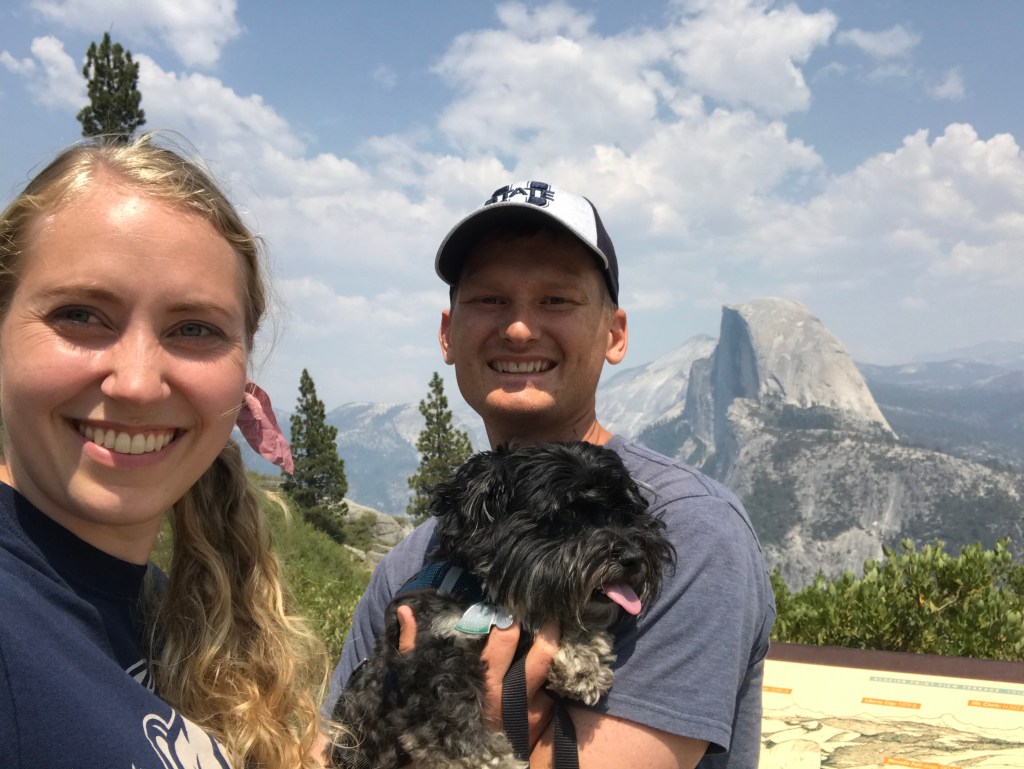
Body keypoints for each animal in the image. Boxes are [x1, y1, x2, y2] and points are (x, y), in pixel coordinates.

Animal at [331, 441, 675, 769]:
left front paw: (583, 659)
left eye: (625, 514)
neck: (490, 596)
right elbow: (452, 721)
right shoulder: (429, 654)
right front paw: (488, 760)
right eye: (567, 515)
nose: (633, 557)